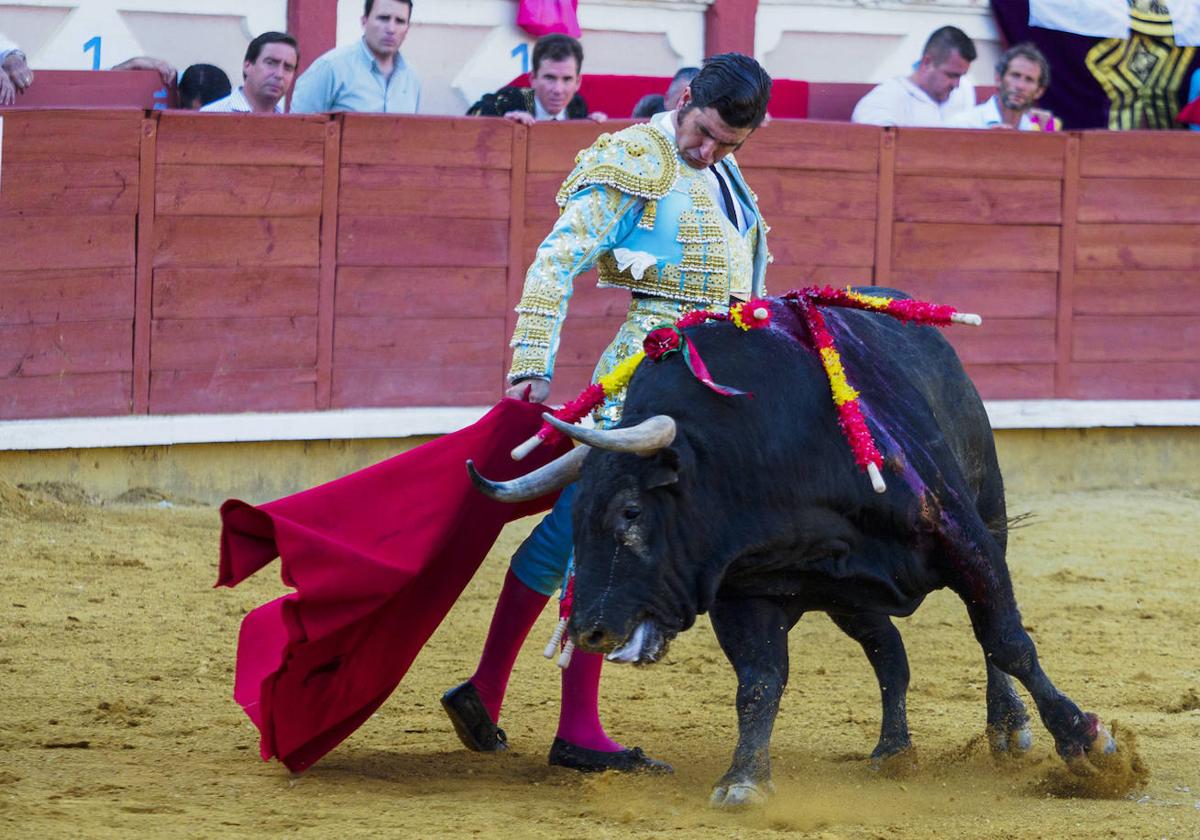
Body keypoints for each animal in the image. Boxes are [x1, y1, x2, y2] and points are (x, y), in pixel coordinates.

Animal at [468, 291, 1113, 801]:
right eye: (576, 519)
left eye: (631, 511)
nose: (589, 630)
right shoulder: (741, 588)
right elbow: (759, 681)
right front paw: (743, 780)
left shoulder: (961, 534)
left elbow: (1007, 641)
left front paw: (1087, 740)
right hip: (851, 597)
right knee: (890, 654)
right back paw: (893, 750)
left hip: (990, 509)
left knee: (980, 639)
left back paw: (1007, 727)